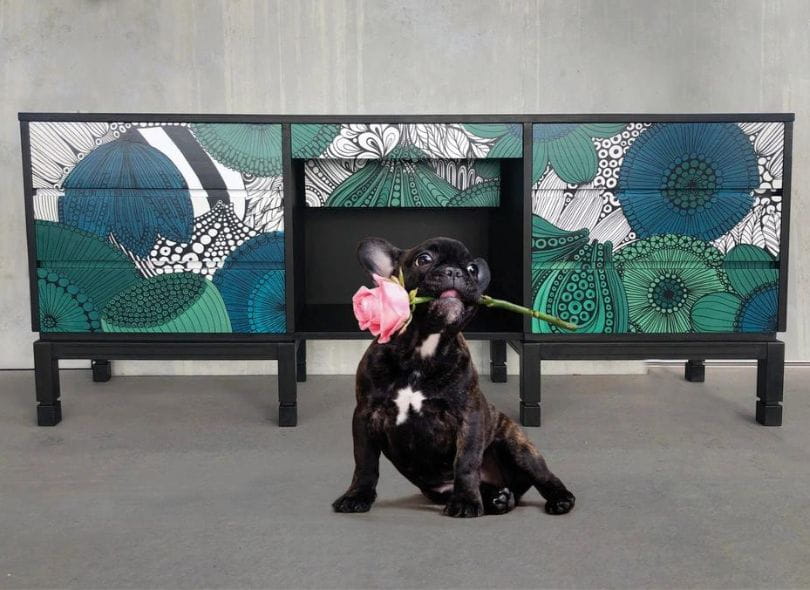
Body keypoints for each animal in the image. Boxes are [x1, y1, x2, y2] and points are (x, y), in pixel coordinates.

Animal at [330, 236, 576, 520]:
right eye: (423, 259)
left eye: (471, 269)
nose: (455, 272)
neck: (422, 349)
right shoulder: (365, 415)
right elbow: (365, 461)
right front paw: (356, 496)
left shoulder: (468, 415)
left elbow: (466, 461)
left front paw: (465, 501)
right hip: (441, 489)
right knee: (497, 491)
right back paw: (497, 499)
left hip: (518, 446)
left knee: (543, 475)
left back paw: (558, 499)